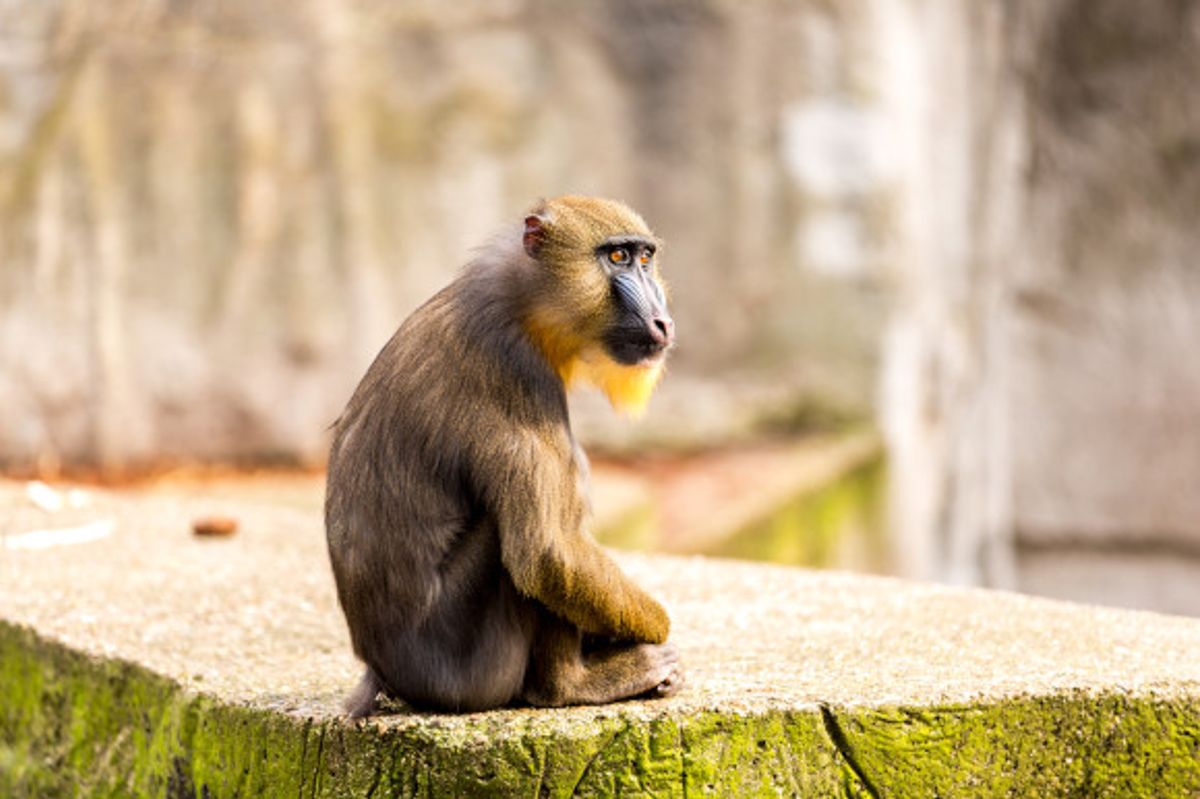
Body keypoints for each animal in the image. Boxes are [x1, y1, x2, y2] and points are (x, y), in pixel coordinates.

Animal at [324, 195, 683, 716]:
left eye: (645, 258)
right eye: (617, 257)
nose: (662, 321)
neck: (523, 302)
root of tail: (382, 671)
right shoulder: (520, 373)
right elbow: (549, 554)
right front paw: (655, 632)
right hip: (472, 666)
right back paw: (575, 684)